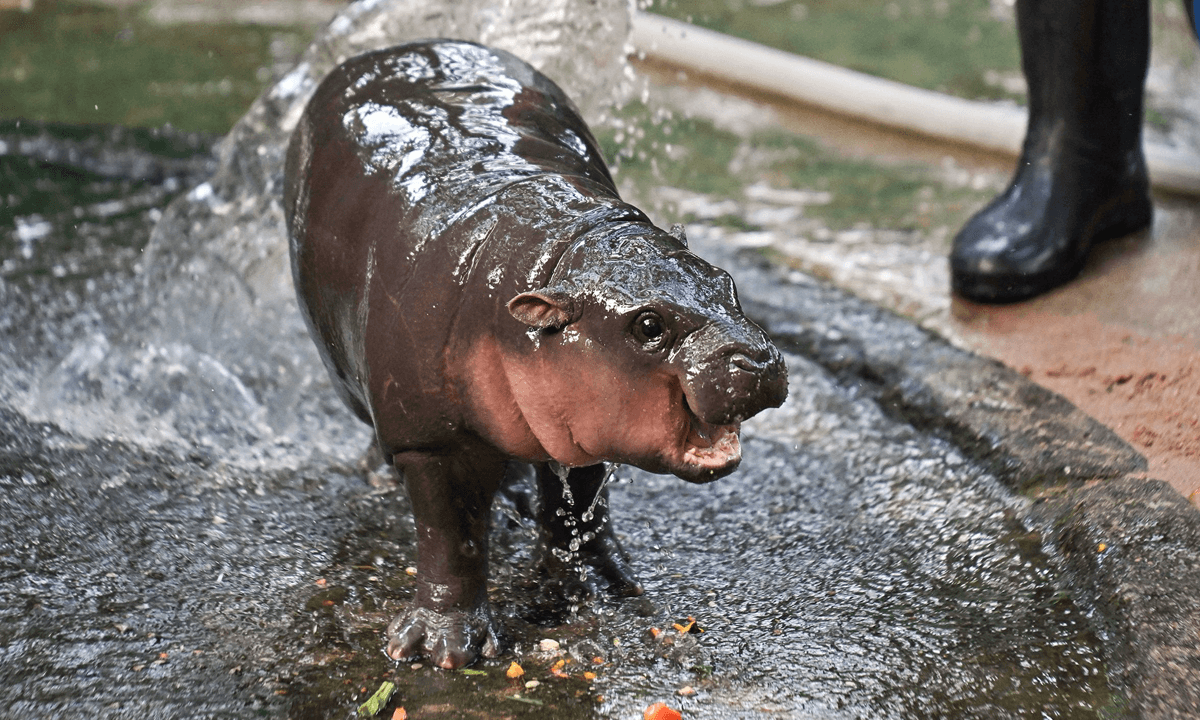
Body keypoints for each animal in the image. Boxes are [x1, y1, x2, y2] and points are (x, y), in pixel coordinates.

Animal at [284, 40, 788, 669]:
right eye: (648, 325)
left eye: (726, 282)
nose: (758, 359)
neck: (556, 255)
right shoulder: (432, 440)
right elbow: (451, 537)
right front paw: (443, 649)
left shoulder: (586, 418)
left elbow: (582, 505)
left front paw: (602, 584)